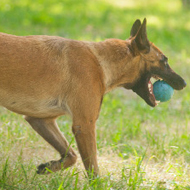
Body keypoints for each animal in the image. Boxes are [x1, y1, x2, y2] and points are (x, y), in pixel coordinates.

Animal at [0, 18, 186, 177]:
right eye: (164, 61)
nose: (184, 83)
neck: (100, 60)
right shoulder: (84, 125)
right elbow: (93, 169)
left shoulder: (41, 119)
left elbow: (71, 156)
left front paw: (50, 167)